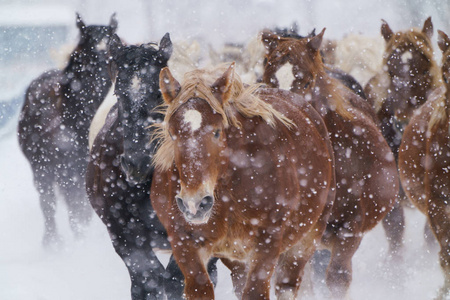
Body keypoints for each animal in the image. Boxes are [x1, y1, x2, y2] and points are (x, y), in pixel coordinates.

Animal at [17, 12, 118, 247]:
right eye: (86, 56)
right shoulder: (68, 175)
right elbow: (75, 213)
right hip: (42, 169)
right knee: (48, 202)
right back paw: (52, 243)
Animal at [149, 62, 336, 298]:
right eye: (173, 133)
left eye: (217, 132)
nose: (195, 204)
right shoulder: (185, 242)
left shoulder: (268, 241)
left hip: (306, 240)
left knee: (287, 284)